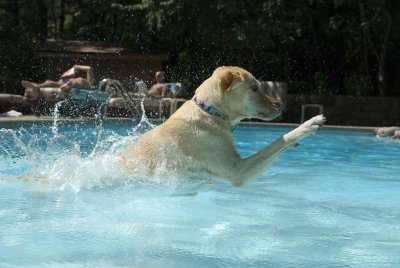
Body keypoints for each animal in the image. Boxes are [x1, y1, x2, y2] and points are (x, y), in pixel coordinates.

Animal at [115, 66, 324, 186]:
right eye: (254, 88)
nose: (280, 105)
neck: (209, 112)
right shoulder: (238, 171)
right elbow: (278, 141)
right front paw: (309, 125)